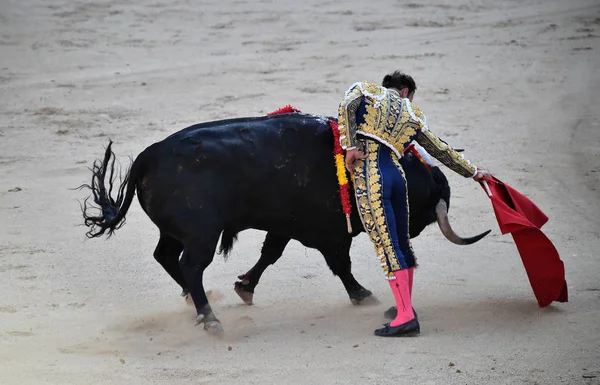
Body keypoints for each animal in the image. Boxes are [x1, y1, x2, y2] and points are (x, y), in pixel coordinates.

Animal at [82, 112, 490, 332]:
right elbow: (341, 265)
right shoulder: (330, 233)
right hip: (202, 235)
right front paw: (363, 294)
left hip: (176, 232)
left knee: (167, 257)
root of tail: (147, 157)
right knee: (191, 266)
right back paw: (209, 318)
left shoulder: (283, 226)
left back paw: (193, 303)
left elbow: (270, 254)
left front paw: (244, 287)